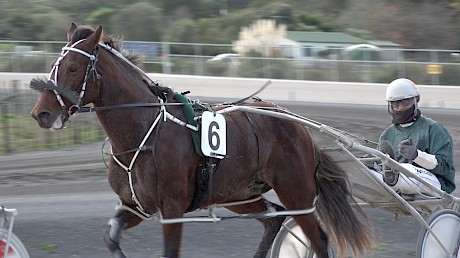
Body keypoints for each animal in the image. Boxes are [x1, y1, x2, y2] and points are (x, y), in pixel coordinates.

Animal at [30, 22, 372, 258]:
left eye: (73, 67)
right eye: (53, 66)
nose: (41, 113)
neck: (143, 132)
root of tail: (297, 125)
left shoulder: (171, 209)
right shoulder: (134, 207)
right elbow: (110, 237)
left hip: (296, 192)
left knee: (318, 238)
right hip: (240, 195)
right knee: (273, 220)